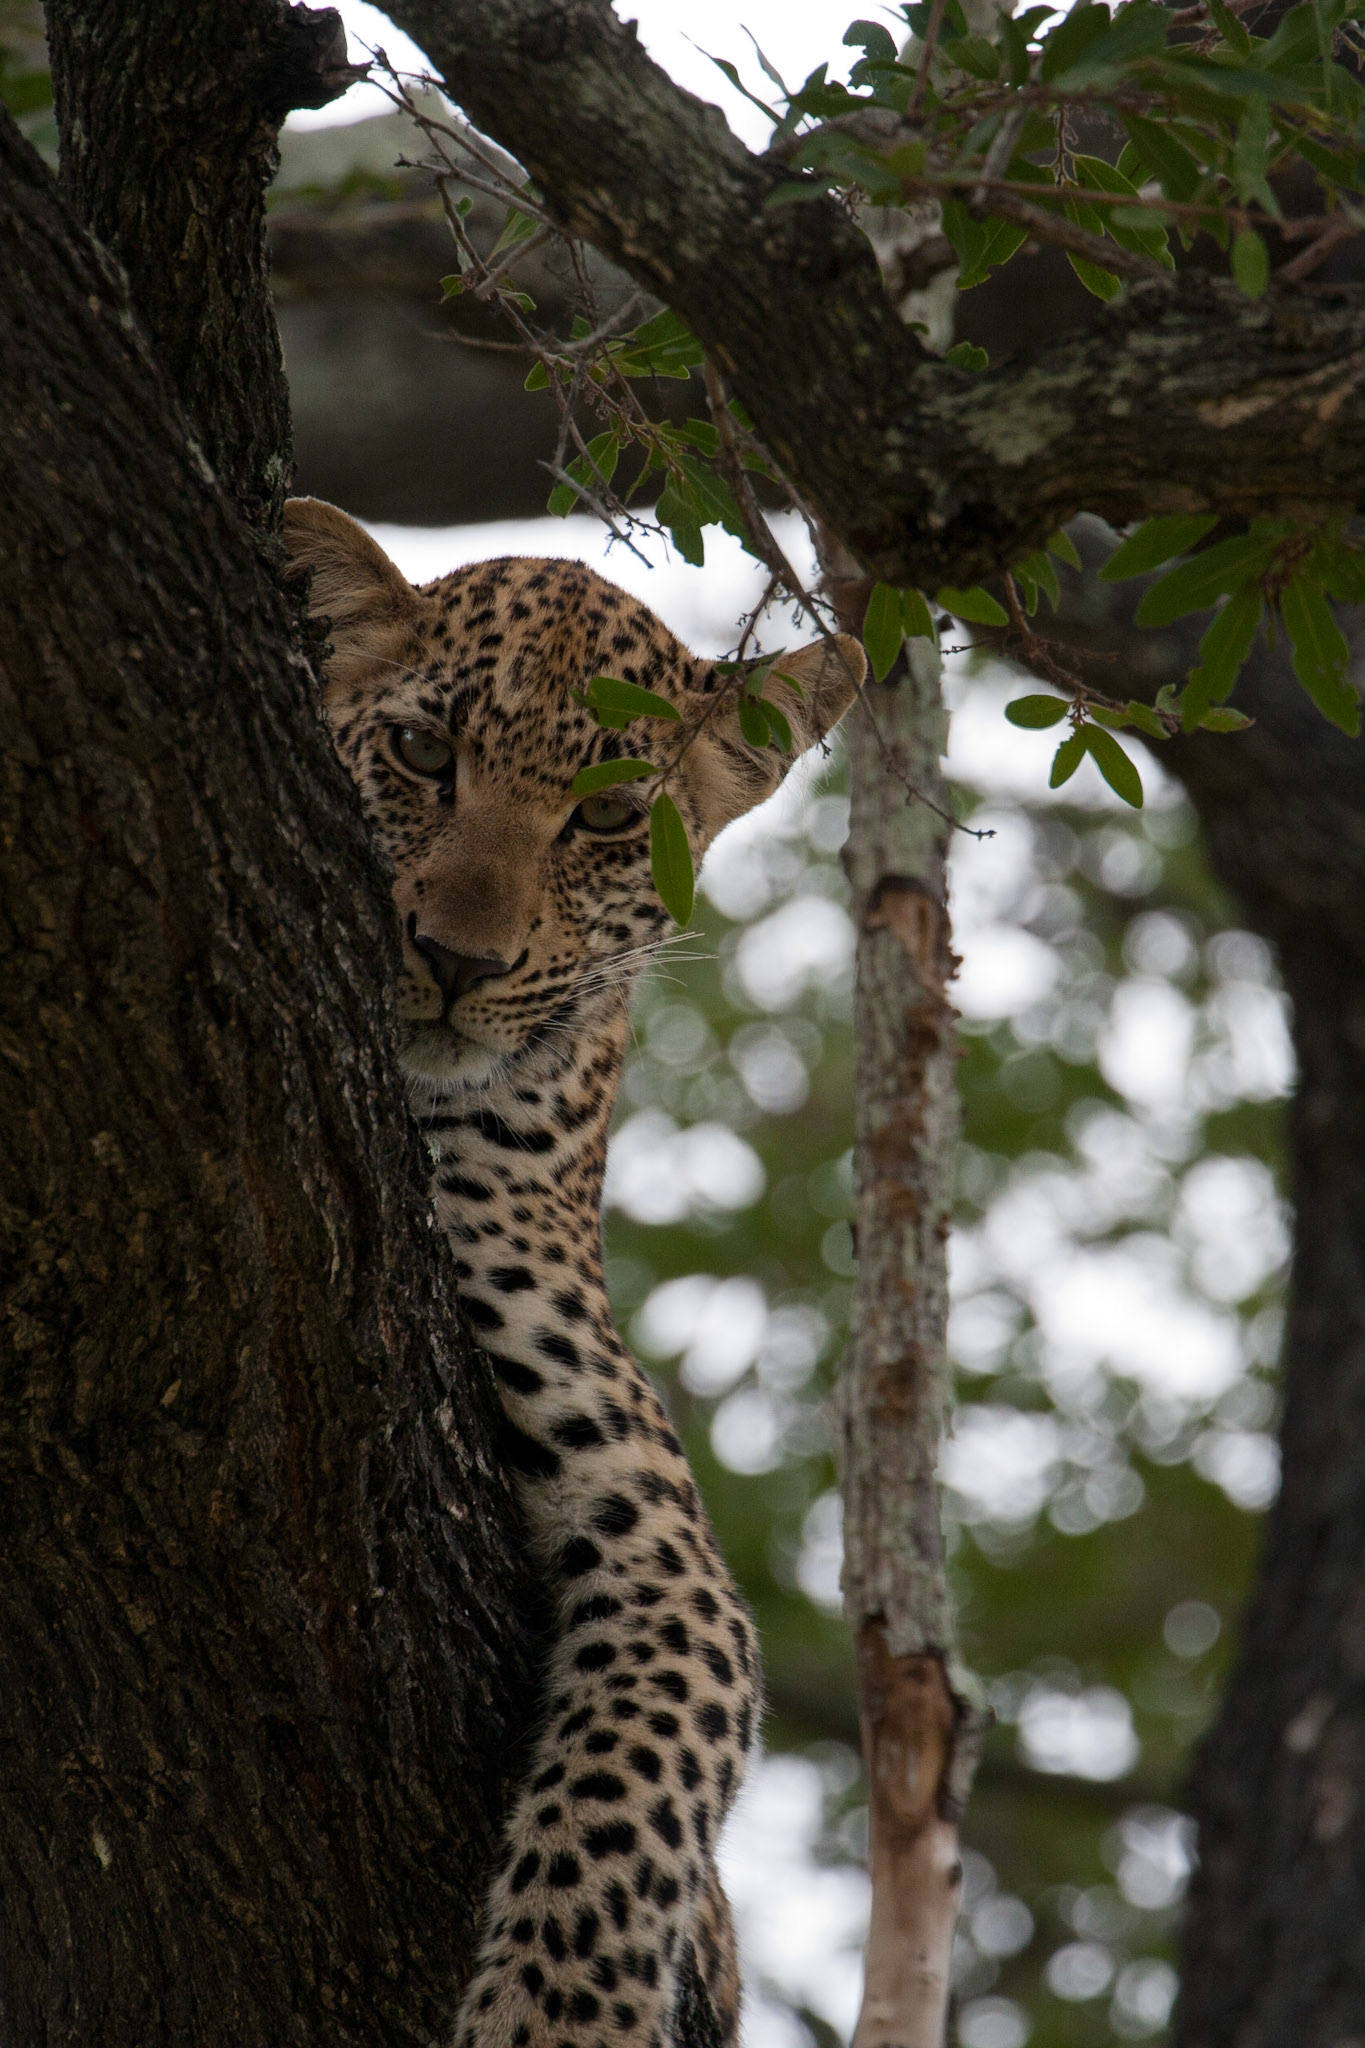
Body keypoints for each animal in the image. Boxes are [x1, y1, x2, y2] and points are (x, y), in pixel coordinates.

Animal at [282, 496, 864, 2048]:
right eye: (423, 753)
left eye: (605, 817)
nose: (454, 959)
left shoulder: (668, 1549)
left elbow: (622, 1804)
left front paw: (550, 2021)